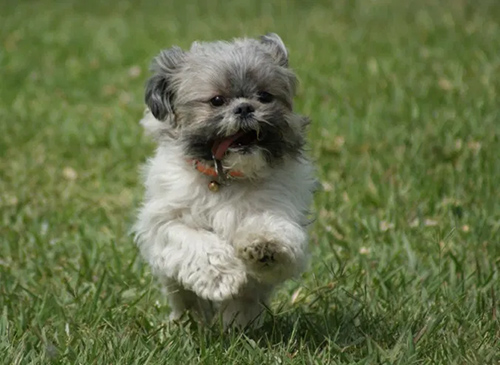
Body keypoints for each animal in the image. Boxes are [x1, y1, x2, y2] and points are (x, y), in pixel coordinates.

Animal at [135, 32, 314, 326]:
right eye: (217, 100)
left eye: (265, 96)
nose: (244, 107)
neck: (227, 178)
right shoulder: (166, 221)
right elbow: (194, 240)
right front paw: (221, 277)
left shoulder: (278, 204)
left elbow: (271, 227)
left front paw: (265, 246)